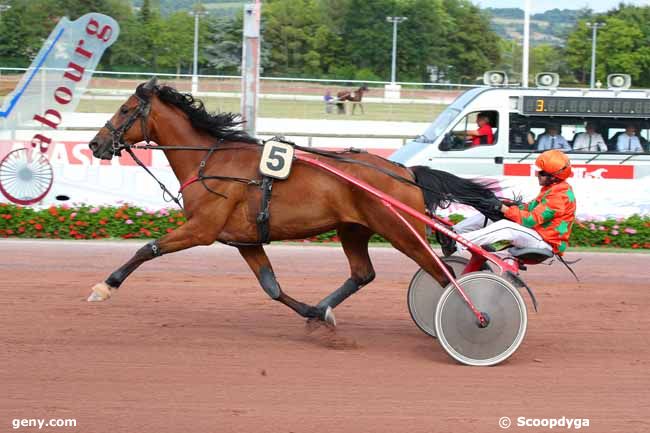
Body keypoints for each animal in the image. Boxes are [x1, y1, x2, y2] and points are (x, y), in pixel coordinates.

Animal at [88, 77, 498, 326]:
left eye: (125, 110)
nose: (95, 144)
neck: (211, 160)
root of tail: (405, 171)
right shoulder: (245, 240)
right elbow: (271, 287)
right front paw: (314, 313)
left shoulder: (202, 228)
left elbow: (148, 248)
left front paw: (105, 287)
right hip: (353, 229)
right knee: (363, 273)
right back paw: (323, 307)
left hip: (400, 230)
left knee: (441, 272)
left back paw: (474, 313)